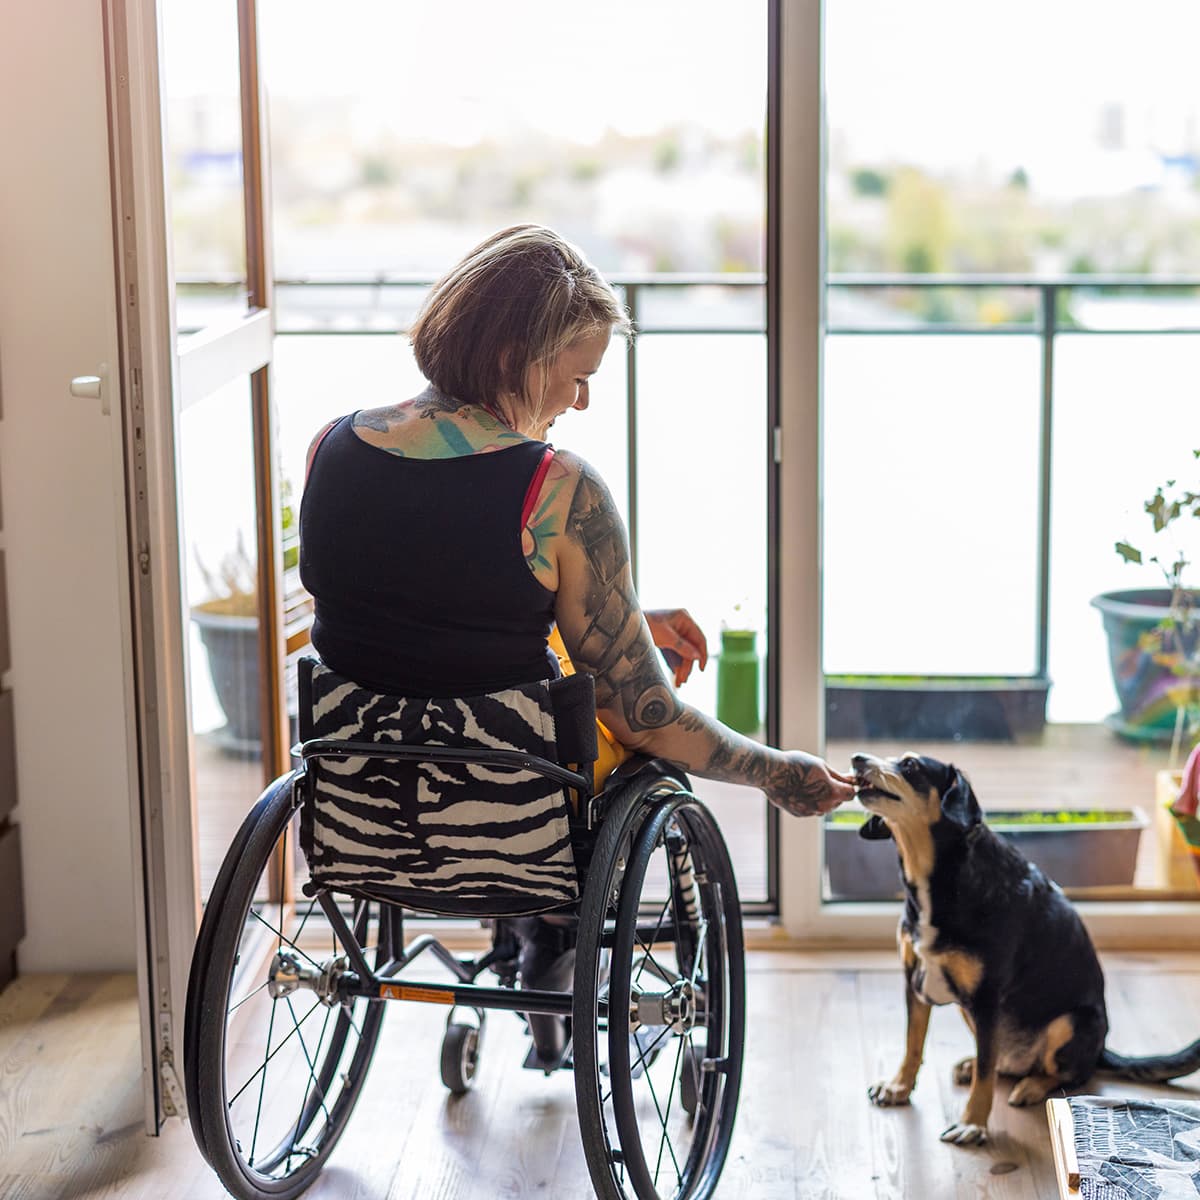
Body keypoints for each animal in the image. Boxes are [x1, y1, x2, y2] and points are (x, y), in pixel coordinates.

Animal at [849, 748, 1200, 1142]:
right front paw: (899, 1087)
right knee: (1000, 1060)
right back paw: (974, 1065)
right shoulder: (914, 980)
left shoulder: (987, 997)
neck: (941, 875)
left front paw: (973, 1123)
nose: (857, 758)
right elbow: (913, 1043)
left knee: (1066, 1073)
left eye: (910, 765)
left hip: (1071, 1021)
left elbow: (985, 1073)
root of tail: (1102, 1049)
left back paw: (1031, 1086)